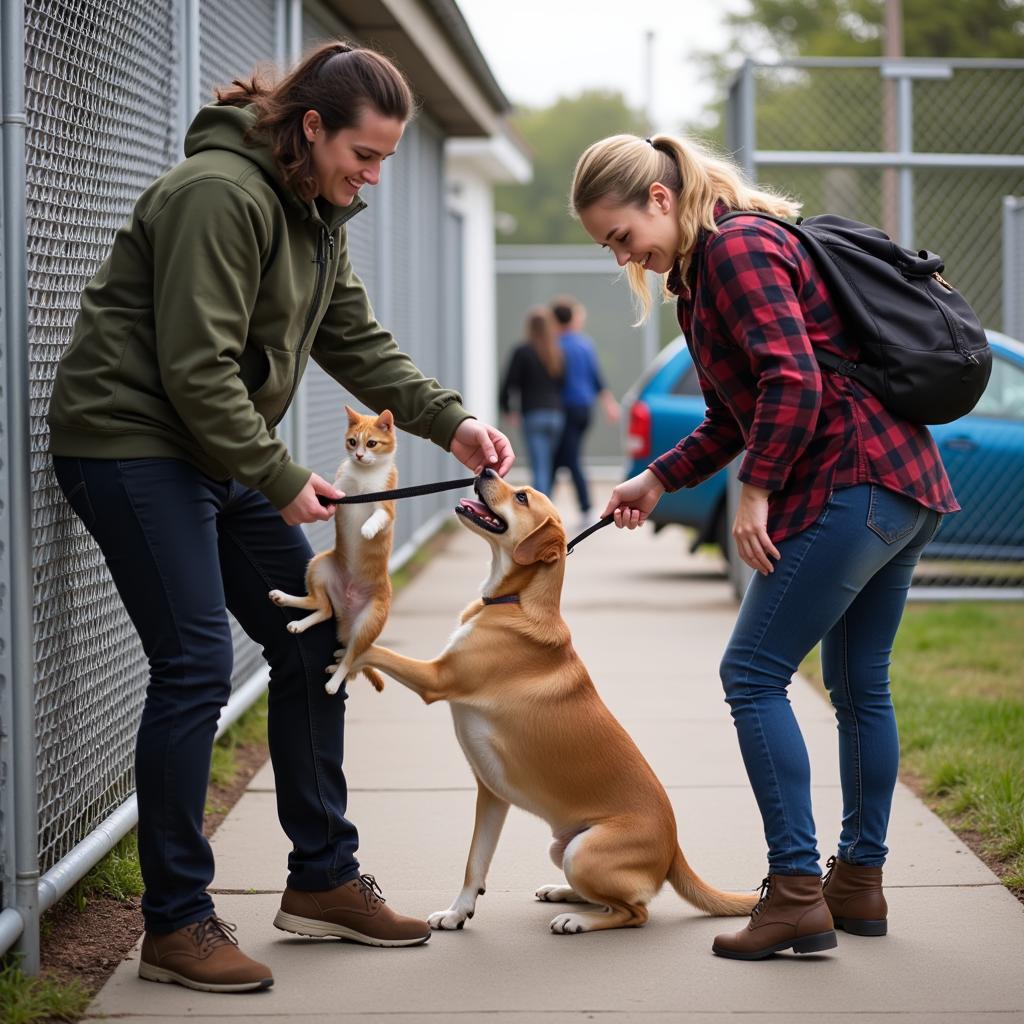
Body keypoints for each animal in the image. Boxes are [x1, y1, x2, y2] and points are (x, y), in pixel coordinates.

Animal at [270, 407, 397, 696]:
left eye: (371, 443)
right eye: (352, 442)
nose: (358, 455)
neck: (363, 475)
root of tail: (346, 609)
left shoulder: (385, 505)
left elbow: (378, 517)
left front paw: (368, 529)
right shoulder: (341, 489)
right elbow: (336, 493)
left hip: (367, 622)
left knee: (350, 656)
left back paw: (334, 681)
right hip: (319, 565)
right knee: (322, 607)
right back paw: (288, 606)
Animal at [356, 468, 757, 933]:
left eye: (522, 497)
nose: (485, 470)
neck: (518, 601)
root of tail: (675, 851)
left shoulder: (436, 678)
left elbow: (378, 650)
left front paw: (346, 647)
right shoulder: (490, 795)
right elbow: (475, 864)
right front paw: (458, 913)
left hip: (584, 853)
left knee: (634, 912)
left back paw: (576, 920)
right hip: (562, 849)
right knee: (609, 899)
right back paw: (561, 892)